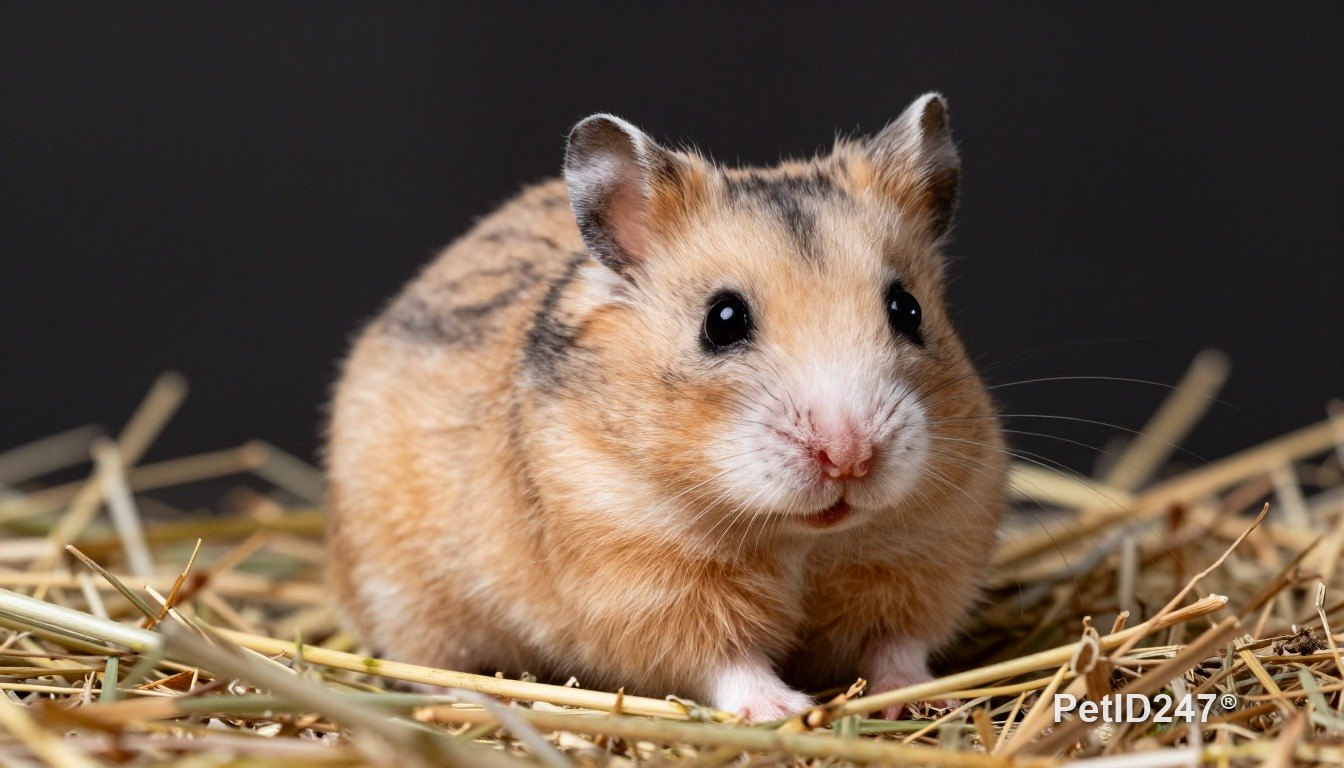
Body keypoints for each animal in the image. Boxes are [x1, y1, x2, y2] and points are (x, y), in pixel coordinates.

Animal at [326, 93, 1005, 722]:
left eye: (907, 310)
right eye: (722, 321)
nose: (849, 457)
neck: (798, 538)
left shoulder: (930, 549)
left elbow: (897, 644)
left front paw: (922, 700)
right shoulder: (644, 581)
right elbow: (726, 659)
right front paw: (782, 711)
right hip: (407, 598)